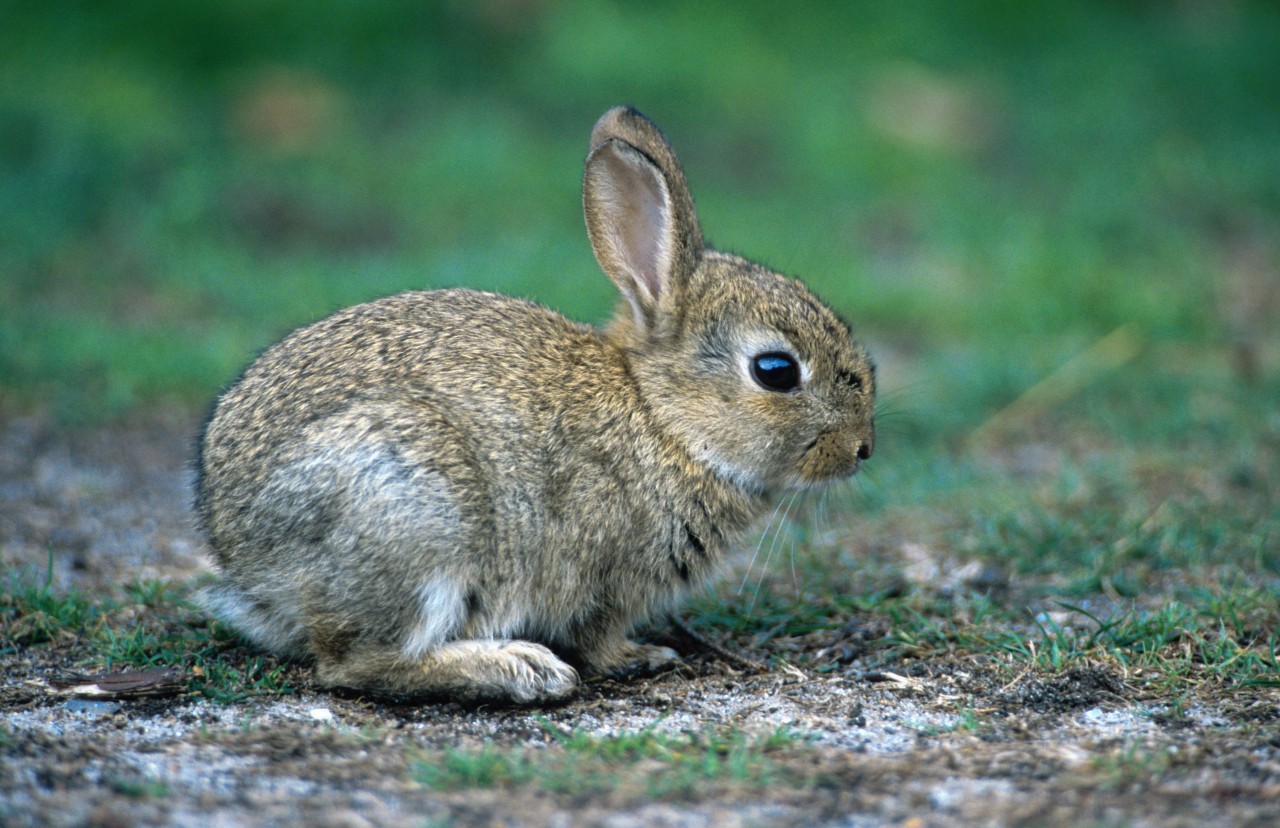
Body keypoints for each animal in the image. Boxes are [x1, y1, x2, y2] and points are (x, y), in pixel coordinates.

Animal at [194, 105, 875, 706]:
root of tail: (246, 562)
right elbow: (596, 638)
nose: (862, 448)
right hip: (414, 511)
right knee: (357, 663)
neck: (663, 419)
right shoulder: (600, 579)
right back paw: (519, 670)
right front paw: (640, 657)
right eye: (775, 371)